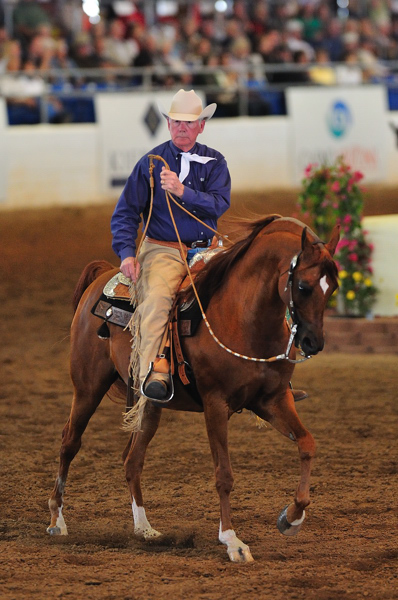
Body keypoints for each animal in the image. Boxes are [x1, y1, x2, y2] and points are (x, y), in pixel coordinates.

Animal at [46, 216, 338, 564]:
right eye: (304, 287)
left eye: (333, 288)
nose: (314, 343)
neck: (241, 316)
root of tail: (102, 275)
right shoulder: (216, 403)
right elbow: (224, 475)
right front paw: (232, 541)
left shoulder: (273, 400)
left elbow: (307, 444)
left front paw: (291, 518)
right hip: (87, 388)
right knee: (69, 442)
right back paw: (57, 520)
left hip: (150, 403)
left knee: (132, 459)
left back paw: (145, 528)